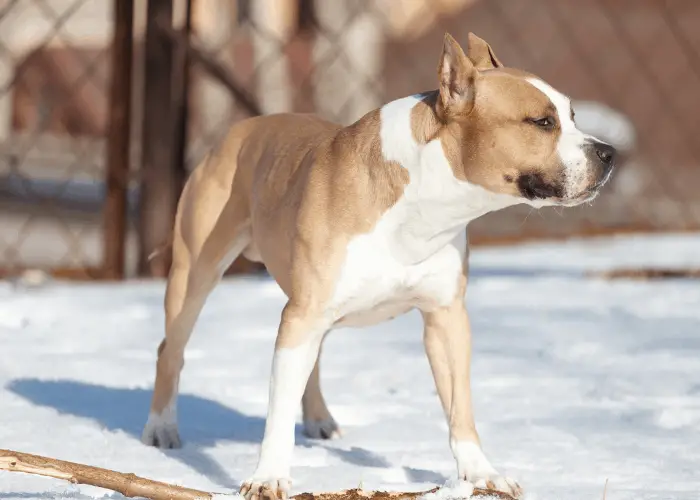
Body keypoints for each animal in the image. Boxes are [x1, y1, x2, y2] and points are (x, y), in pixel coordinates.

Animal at [141, 33, 612, 498]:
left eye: (572, 116)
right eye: (542, 123)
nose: (609, 152)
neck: (425, 198)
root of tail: (237, 132)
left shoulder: (445, 318)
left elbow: (460, 405)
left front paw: (480, 474)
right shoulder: (303, 316)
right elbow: (277, 414)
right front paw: (268, 477)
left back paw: (318, 418)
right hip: (196, 274)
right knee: (171, 349)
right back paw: (161, 428)